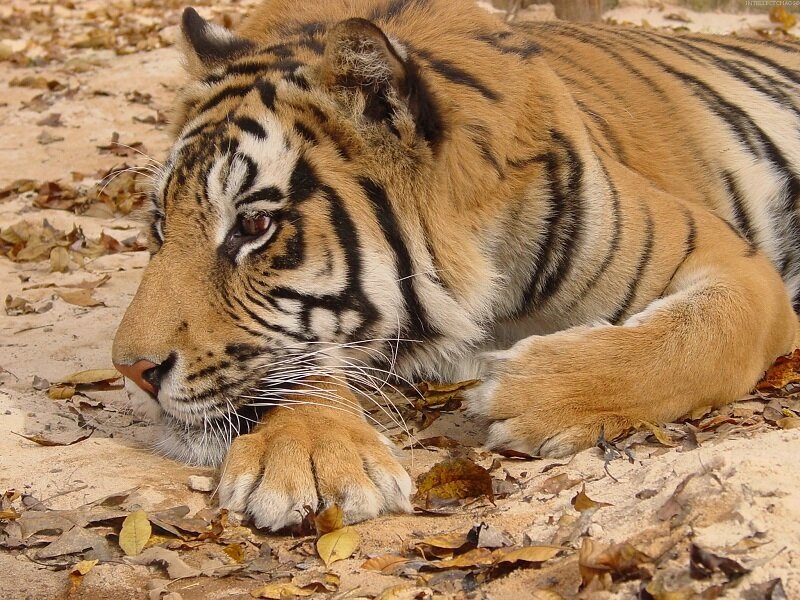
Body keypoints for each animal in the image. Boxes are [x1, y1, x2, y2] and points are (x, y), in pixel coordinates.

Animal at [112, 0, 800, 530]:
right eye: (159, 225)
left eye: (254, 225)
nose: (133, 371)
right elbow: (297, 368)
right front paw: (311, 458)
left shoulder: (731, 260)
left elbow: (702, 335)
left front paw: (531, 391)